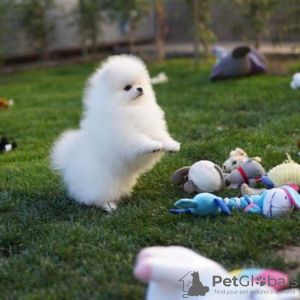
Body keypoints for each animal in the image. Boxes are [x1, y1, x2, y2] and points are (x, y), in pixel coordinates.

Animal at [51, 55, 180, 212]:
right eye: (127, 87)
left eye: (139, 83)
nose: (140, 88)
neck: (131, 108)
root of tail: (69, 165)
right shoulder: (126, 136)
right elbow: (140, 141)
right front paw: (154, 146)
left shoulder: (152, 128)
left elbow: (163, 137)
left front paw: (172, 146)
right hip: (104, 183)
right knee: (96, 198)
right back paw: (109, 207)